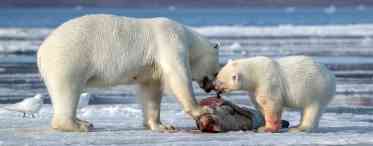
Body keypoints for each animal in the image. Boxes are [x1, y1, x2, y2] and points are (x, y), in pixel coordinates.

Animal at [36, 14, 219, 132]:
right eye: (217, 72)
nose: (213, 88)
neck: (188, 38)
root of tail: (41, 50)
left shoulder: (151, 67)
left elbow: (151, 91)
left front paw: (162, 125)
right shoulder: (170, 42)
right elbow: (178, 76)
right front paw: (202, 110)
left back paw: (83, 122)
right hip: (69, 58)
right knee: (68, 90)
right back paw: (79, 125)